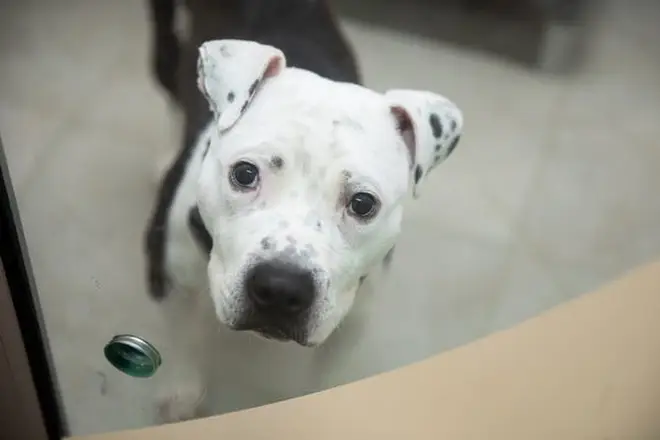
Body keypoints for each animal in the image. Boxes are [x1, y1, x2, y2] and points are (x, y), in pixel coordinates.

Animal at [144, 0, 464, 426]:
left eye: (363, 203)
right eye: (244, 174)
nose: (281, 288)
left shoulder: (353, 316)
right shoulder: (169, 278)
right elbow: (183, 338)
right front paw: (182, 390)